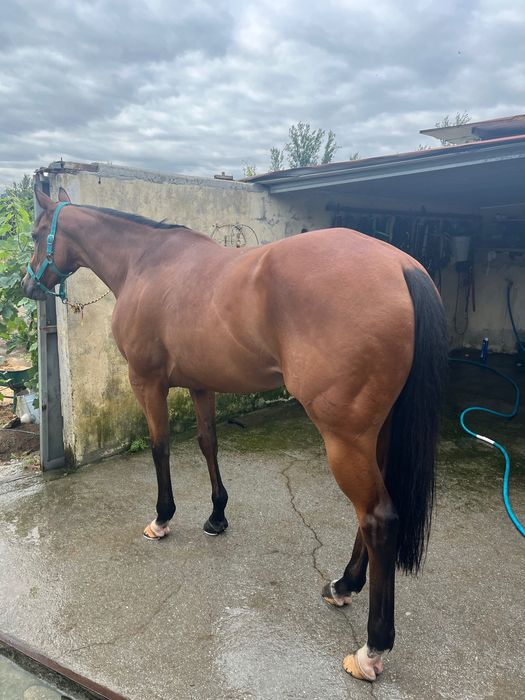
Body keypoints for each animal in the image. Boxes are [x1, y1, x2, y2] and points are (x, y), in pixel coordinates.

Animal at [22, 187, 448, 682]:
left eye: (35, 233)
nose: (28, 285)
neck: (144, 263)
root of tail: (401, 266)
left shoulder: (146, 382)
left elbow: (160, 447)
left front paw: (162, 518)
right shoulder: (201, 383)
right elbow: (208, 444)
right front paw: (217, 516)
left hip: (344, 438)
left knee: (378, 518)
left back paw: (371, 649)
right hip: (373, 436)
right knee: (371, 515)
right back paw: (344, 584)